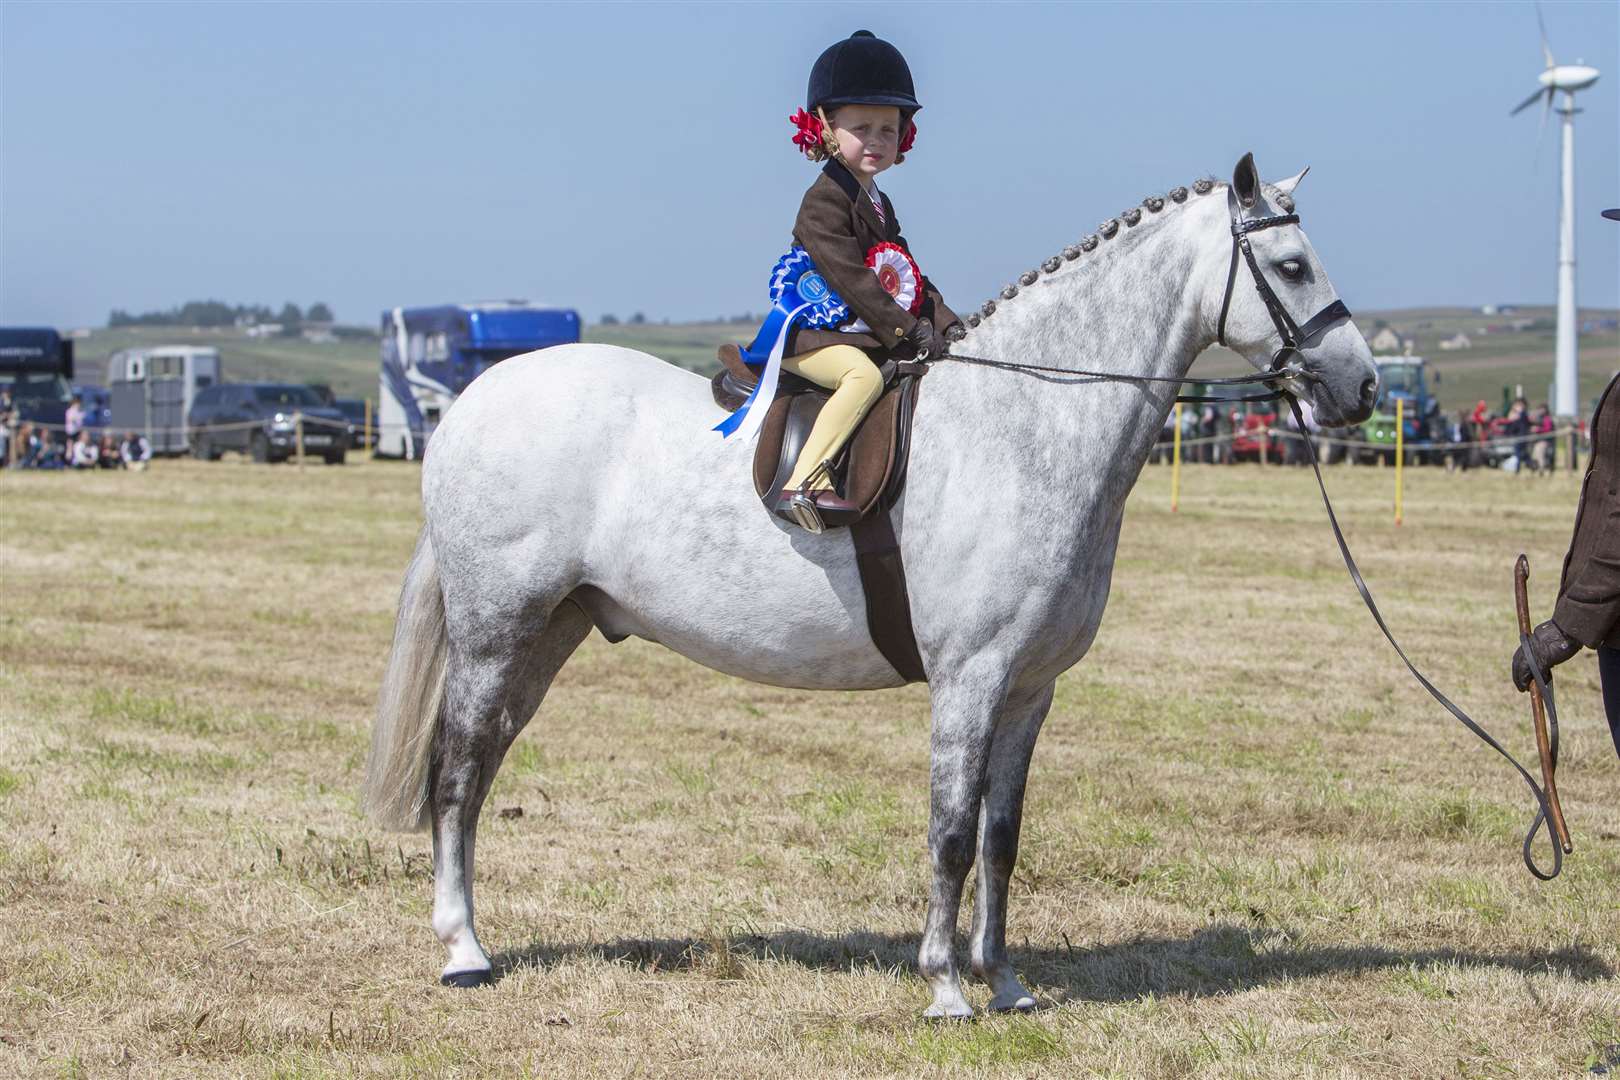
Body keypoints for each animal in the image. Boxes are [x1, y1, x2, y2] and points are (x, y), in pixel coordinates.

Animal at [367, 156, 1380, 1016]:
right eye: (1291, 265)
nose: (1361, 389)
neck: (1022, 422)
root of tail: (474, 403)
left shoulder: (1029, 689)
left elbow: (1001, 836)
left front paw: (1005, 982)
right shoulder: (970, 678)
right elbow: (950, 829)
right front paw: (946, 988)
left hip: (551, 629)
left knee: (482, 768)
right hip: (498, 626)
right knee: (457, 769)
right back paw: (464, 952)